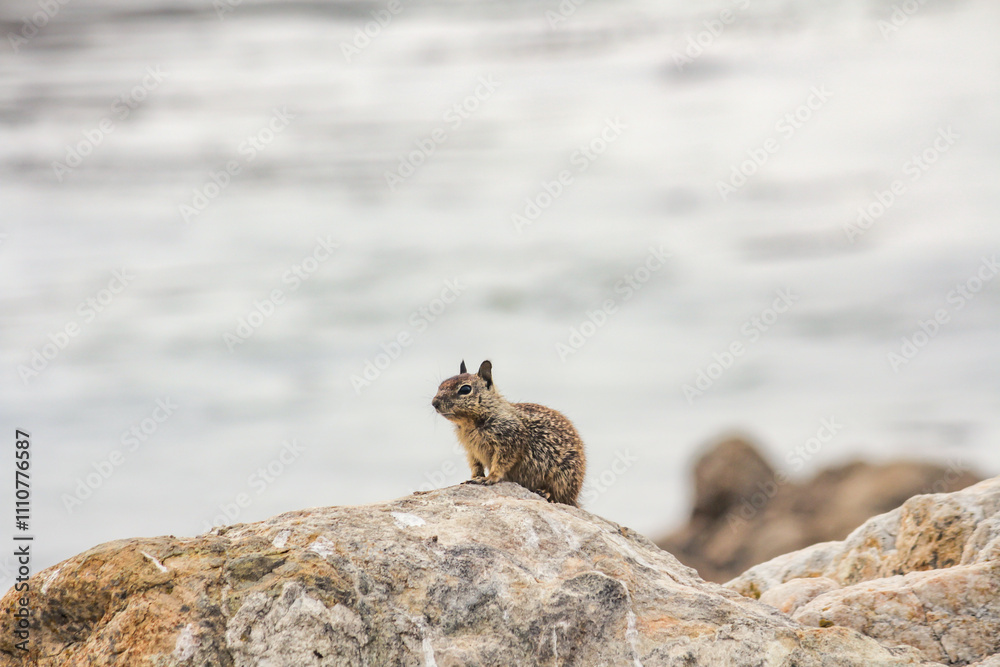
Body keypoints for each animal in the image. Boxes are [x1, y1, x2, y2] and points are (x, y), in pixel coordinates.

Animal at [432, 360, 586, 506]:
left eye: (465, 389)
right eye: (440, 385)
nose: (434, 403)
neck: (470, 423)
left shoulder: (509, 441)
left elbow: (501, 463)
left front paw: (489, 478)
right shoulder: (471, 450)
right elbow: (476, 465)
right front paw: (474, 478)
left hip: (563, 477)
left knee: (560, 495)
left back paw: (546, 493)